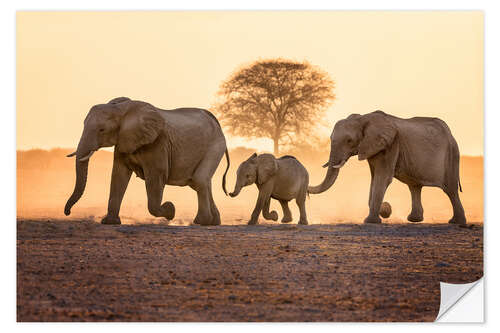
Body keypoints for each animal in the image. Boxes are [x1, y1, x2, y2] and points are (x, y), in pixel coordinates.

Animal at [64, 96, 230, 226]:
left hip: (216, 146)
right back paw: (213, 222)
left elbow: (156, 176)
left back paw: (201, 221)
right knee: (201, 182)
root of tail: (215, 121)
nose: (67, 212)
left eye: (101, 130)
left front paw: (170, 210)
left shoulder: (158, 143)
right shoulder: (123, 140)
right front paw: (109, 222)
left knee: (199, 179)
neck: (122, 110)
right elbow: (118, 175)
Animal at [306, 110, 466, 224]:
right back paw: (414, 220)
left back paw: (455, 222)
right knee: (414, 186)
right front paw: (380, 212)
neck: (364, 118)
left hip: (452, 155)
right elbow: (374, 178)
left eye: (349, 140)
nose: (387, 207)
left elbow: (383, 178)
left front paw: (371, 221)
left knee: (450, 190)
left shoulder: (391, 145)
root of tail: (450, 134)